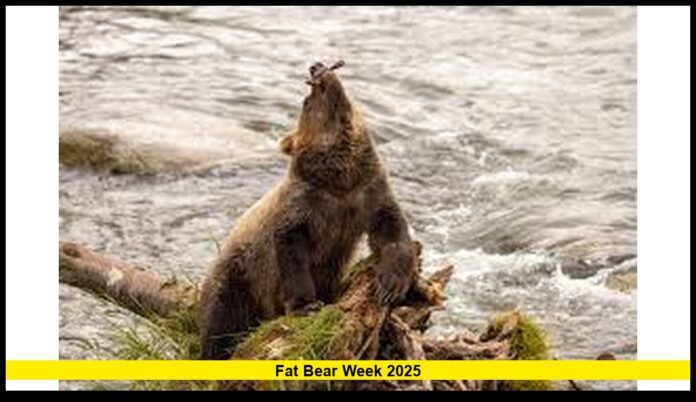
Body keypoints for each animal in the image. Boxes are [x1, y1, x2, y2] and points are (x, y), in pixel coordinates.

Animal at [198, 61, 415, 360]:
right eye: (305, 101)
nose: (317, 66)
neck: (339, 181)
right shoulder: (304, 207)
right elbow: (292, 251)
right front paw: (305, 304)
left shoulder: (367, 193)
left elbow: (391, 230)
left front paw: (391, 285)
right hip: (238, 277)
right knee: (221, 319)